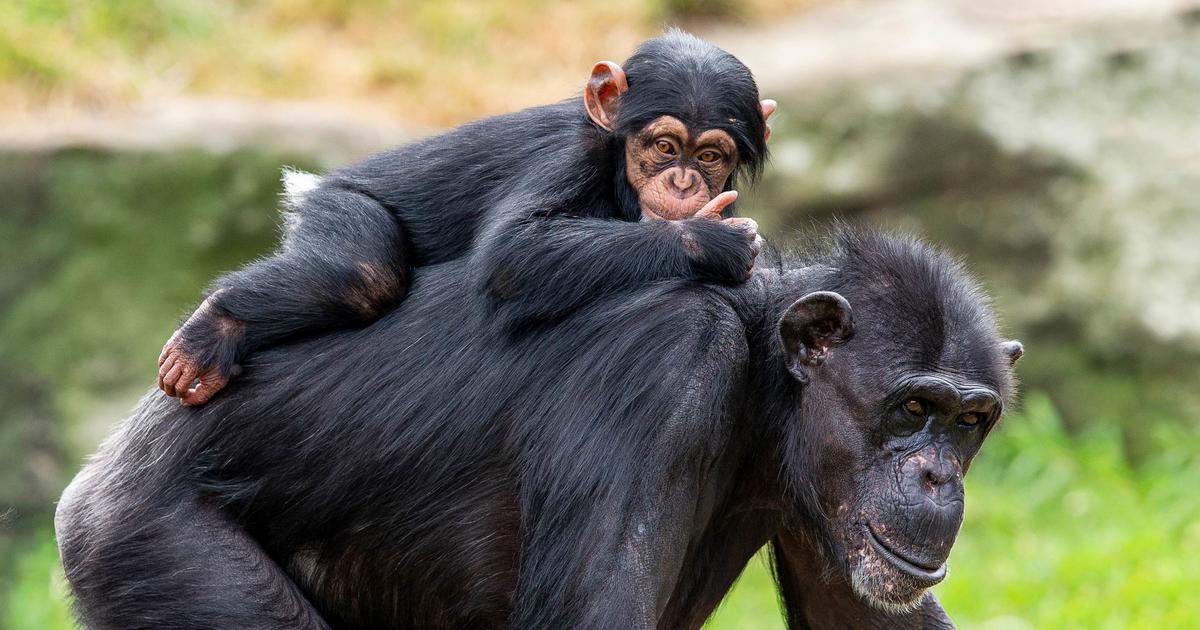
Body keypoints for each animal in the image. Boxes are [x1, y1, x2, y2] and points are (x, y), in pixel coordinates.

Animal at [54, 224, 1022, 624]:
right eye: (911, 409)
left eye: (969, 422)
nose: (936, 474)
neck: (758, 378)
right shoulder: (660, 374)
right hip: (148, 541)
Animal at [157, 28, 768, 403]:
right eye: (665, 146)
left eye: (710, 157)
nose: (684, 181)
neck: (617, 165)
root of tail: (314, 186)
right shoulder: (566, 157)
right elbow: (516, 251)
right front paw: (712, 239)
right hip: (339, 208)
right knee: (360, 272)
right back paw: (214, 328)